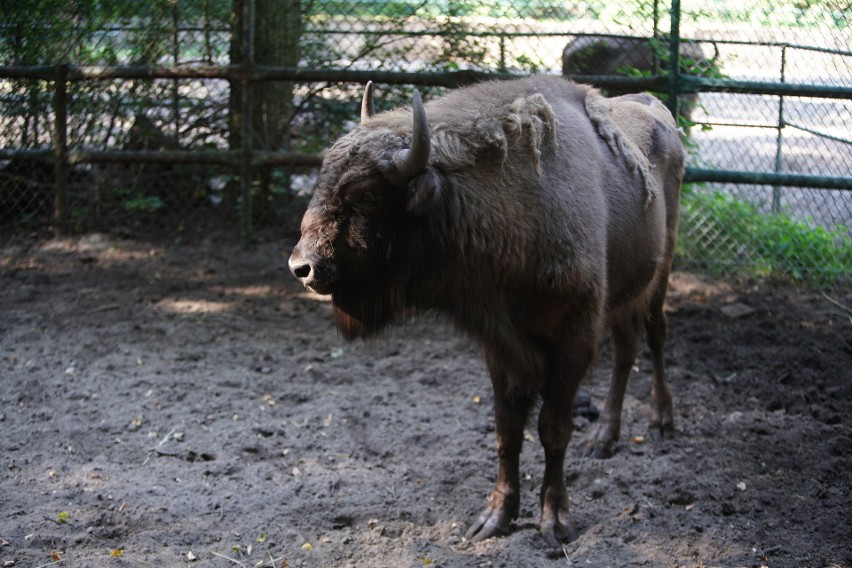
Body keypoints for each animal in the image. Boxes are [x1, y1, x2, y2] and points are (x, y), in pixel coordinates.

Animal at [292, 76, 684, 544]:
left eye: (367, 195)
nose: (303, 266)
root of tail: (657, 108)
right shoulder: (501, 346)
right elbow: (507, 431)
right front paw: (495, 517)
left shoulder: (573, 340)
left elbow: (553, 428)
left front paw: (556, 521)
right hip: (627, 293)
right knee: (626, 349)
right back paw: (604, 439)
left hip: (660, 271)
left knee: (655, 335)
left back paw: (661, 423)